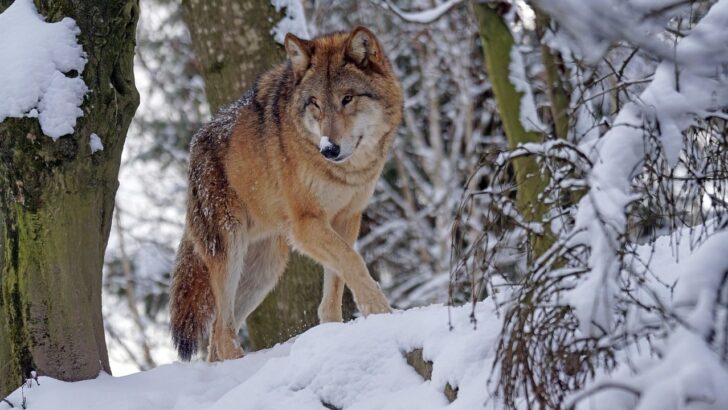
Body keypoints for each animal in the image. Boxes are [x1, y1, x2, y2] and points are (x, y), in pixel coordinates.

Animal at [169, 27, 403, 361]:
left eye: (347, 98)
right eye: (315, 103)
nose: (329, 149)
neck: (345, 173)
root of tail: (195, 144)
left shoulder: (347, 218)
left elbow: (337, 280)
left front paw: (334, 331)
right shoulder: (306, 224)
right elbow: (354, 262)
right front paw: (381, 312)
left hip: (265, 270)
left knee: (217, 335)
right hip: (230, 251)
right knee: (222, 333)